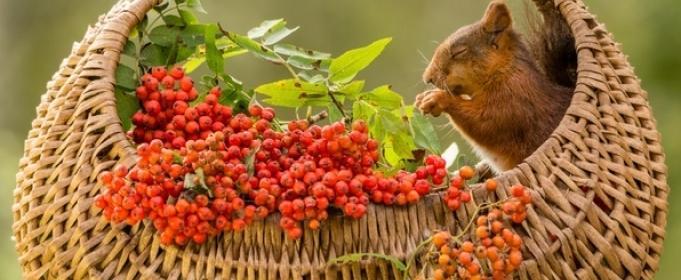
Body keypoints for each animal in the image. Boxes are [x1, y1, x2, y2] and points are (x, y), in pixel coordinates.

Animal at [414, 1, 572, 174]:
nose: (428, 78)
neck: (503, 72)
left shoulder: (514, 101)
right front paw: (422, 98)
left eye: (460, 52)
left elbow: (485, 122)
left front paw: (437, 98)